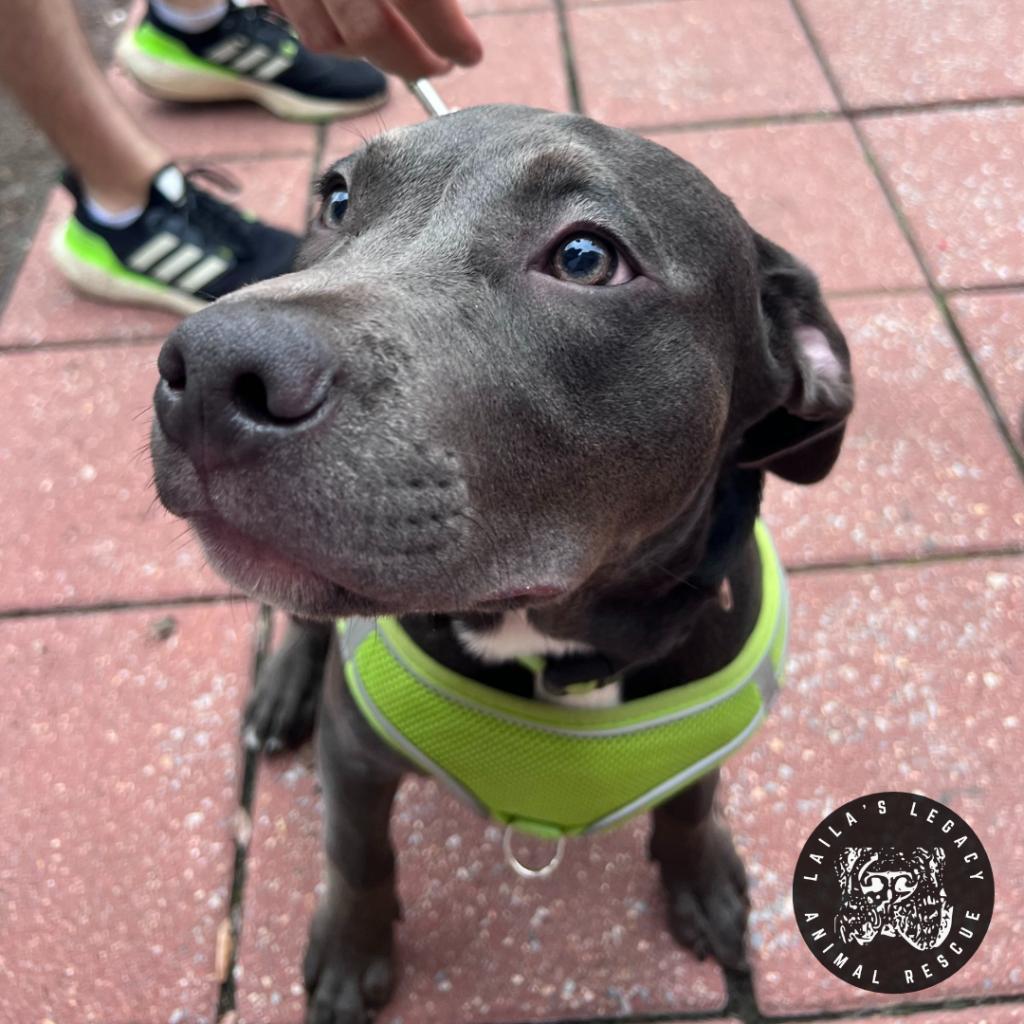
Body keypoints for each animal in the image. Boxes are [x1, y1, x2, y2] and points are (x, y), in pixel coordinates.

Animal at [148, 103, 851, 1024]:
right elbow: (358, 854)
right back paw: (281, 691)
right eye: (337, 199)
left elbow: (693, 801)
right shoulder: (356, 750)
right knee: (302, 623)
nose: (210, 368)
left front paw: (701, 880)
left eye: (586, 257)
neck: (558, 652)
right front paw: (352, 952)